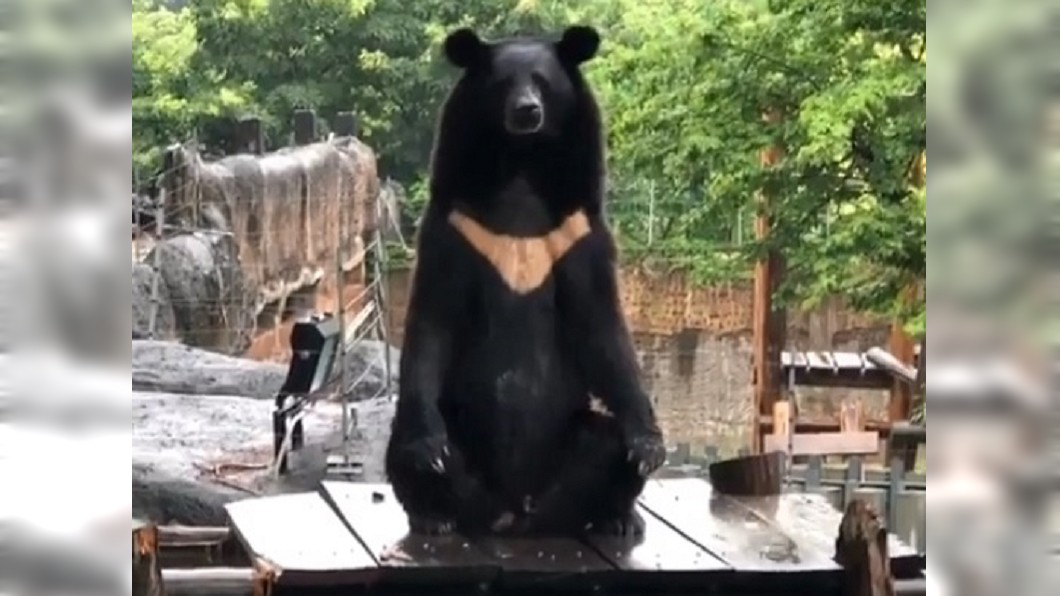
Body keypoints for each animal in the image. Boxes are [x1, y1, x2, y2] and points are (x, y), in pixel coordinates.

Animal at [384, 25, 666, 538]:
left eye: (542, 81)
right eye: (503, 83)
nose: (527, 111)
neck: (520, 168)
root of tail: (516, 512)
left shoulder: (578, 230)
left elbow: (602, 325)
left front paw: (650, 445)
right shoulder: (454, 228)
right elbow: (434, 318)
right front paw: (428, 450)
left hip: (571, 445)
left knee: (607, 445)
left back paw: (616, 515)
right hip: (464, 442)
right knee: (406, 451)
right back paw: (434, 513)